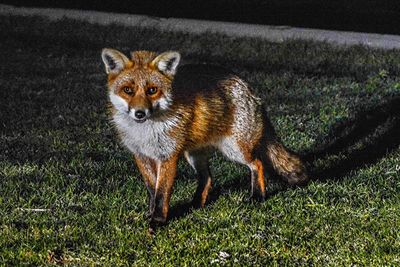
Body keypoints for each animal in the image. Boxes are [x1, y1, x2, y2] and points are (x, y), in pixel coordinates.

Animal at [101, 47, 310, 230]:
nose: (139, 113)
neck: (145, 132)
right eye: (128, 90)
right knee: (207, 177)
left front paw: (158, 221)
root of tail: (248, 87)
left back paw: (257, 197)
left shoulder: (168, 155)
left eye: (152, 90)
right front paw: (151, 214)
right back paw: (196, 204)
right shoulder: (141, 155)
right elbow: (153, 190)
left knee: (257, 164)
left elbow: (162, 193)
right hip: (194, 155)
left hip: (235, 149)